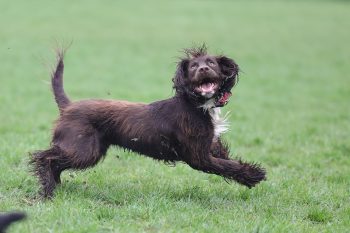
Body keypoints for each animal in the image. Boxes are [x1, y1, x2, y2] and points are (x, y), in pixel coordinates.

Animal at [30, 44, 266, 198]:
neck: (196, 104)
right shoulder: (197, 155)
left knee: (55, 161)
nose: (203, 69)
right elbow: (227, 165)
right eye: (193, 67)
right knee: (44, 157)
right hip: (84, 149)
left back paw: (54, 185)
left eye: (211, 63)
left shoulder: (210, 145)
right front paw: (254, 175)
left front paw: (250, 171)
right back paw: (48, 189)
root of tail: (68, 106)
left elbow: (227, 158)